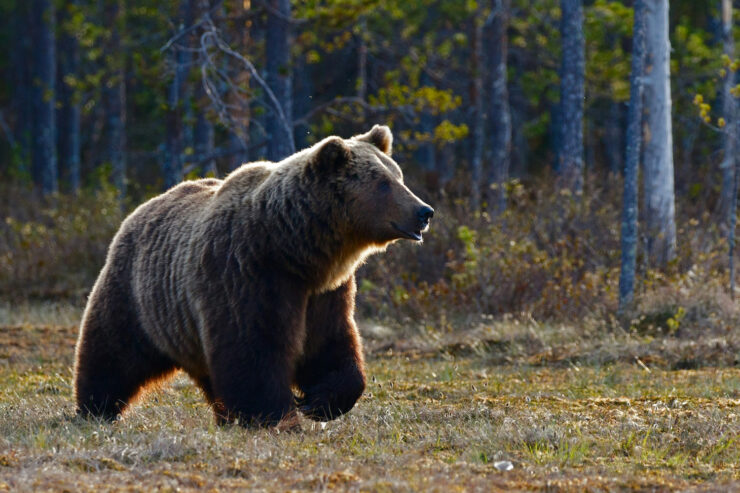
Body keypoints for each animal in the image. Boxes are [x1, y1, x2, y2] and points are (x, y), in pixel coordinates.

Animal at [73, 125, 434, 427]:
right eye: (383, 183)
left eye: (398, 176)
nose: (424, 211)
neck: (295, 249)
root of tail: (140, 209)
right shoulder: (247, 273)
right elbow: (253, 349)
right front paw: (276, 415)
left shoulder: (325, 293)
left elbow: (330, 344)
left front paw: (319, 401)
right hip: (138, 295)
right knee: (112, 351)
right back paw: (95, 408)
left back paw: (223, 416)